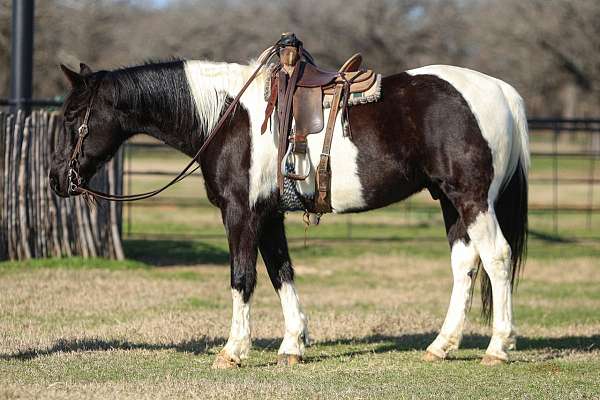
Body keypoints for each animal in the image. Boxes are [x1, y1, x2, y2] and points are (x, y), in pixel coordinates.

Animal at [51, 57, 528, 368]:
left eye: (72, 116)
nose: (57, 179)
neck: (228, 117)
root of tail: (502, 91)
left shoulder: (241, 213)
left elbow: (242, 277)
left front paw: (233, 350)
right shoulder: (269, 216)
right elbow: (281, 272)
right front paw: (293, 346)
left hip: (472, 199)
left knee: (497, 258)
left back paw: (497, 348)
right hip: (450, 202)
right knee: (465, 265)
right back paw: (441, 345)